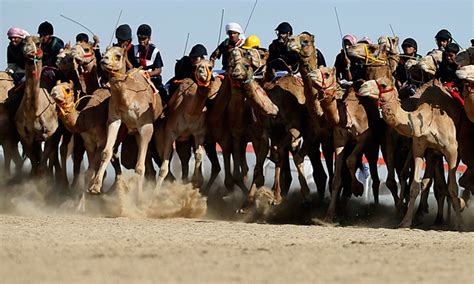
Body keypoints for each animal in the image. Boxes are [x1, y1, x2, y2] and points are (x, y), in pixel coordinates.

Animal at [14, 36, 58, 175]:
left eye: (38, 43)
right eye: (23, 42)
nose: (28, 50)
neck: (34, 112)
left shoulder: (51, 134)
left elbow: (42, 166)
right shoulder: (25, 137)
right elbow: (35, 167)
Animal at [89, 45, 163, 200]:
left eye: (118, 56)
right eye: (105, 52)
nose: (103, 60)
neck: (128, 99)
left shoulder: (146, 126)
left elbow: (139, 167)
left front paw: (138, 198)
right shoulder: (114, 120)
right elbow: (106, 152)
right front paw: (95, 187)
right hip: (134, 133)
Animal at [360, 77, 462, 229]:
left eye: (383, 85)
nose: (362, 87)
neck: (429, 119)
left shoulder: (452, 149)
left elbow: (454, 188)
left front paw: (459, 224)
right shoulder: (419, 147)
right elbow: (414, 186)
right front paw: (405, 221)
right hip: (433, 153)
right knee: (430, 182)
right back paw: (428, 216)